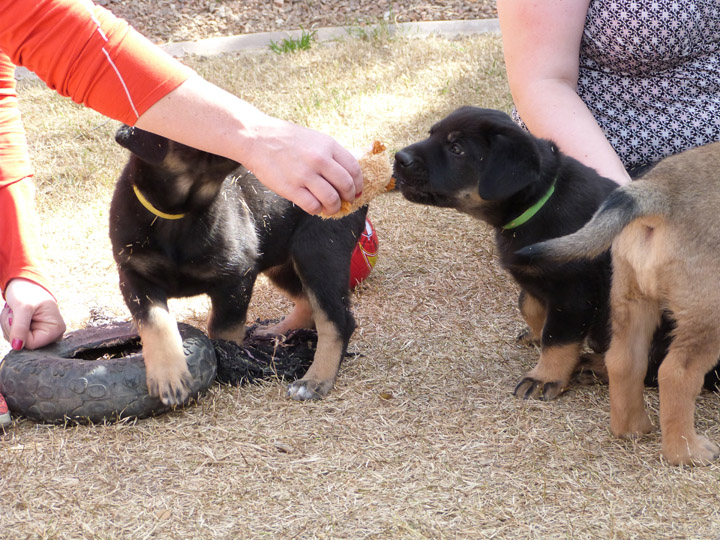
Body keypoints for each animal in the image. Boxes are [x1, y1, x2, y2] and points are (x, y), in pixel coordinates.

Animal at [109, 126, 366, 404]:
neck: (180, 214)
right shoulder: (135, 277)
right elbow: (157, 323)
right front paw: (169, 376)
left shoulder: (236, 276)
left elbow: (223, 327)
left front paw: (230, 361)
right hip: (282, 260)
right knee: (308, 303)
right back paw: (276, 332)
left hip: (317, 252)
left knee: (337, 319)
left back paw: (315, 380)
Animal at [394, 106, 620, 400]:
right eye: (431, 133)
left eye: (456, 149)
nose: (399, 158)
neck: (540, 203)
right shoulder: (531, 279)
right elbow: (528, 305)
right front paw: (535, 335)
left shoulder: (573, 294)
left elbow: (557, 339)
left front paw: (543, 378)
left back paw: (592, 364)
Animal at [520, 141, 720, 466]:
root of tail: (658, 191)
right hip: (705, 316)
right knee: (675, 375)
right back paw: (686, 452)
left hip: (630, 298)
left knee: (624, 361)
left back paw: (632, 429)